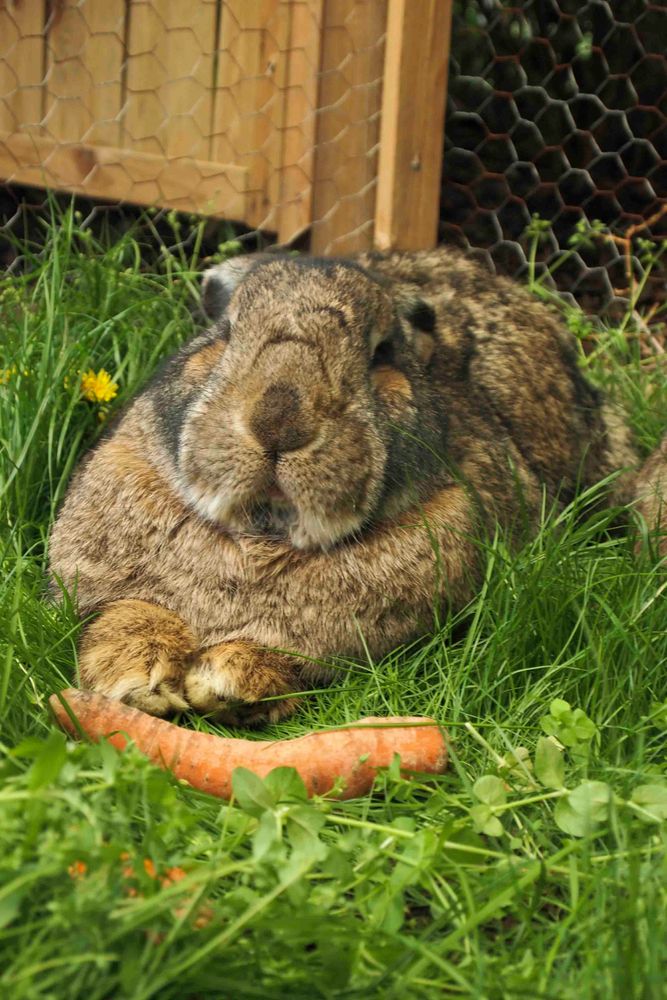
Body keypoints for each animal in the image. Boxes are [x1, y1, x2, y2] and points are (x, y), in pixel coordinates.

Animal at [48, 248, 665, 723]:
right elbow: (129, 610)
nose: (279, 421)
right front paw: (137, 675)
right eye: (222, 336)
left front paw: (231, 679)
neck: (263, 537)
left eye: (380, 356)